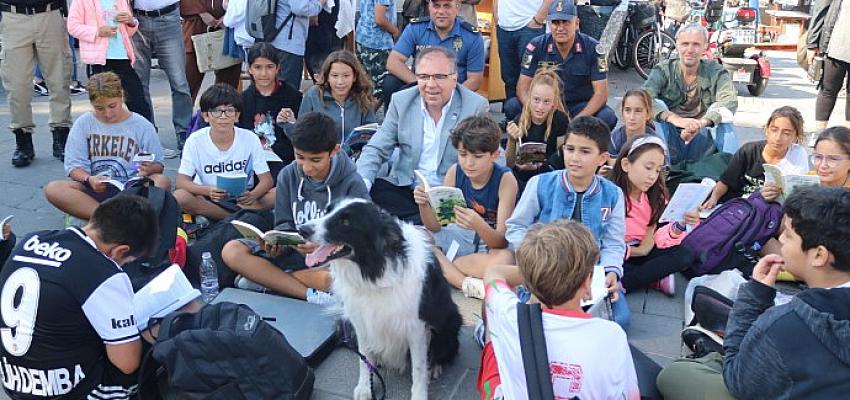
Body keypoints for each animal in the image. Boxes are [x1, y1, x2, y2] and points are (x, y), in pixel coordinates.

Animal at [296, 198, 458, 398]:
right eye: (327, 211)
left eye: (346, 221)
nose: (302, 229)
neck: (374, 272)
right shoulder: (361, 321)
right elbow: (363, 359)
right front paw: (365, 388)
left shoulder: (416, 327)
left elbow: (419, 368)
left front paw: (419, 394)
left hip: (450, 320)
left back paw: (434, 367)